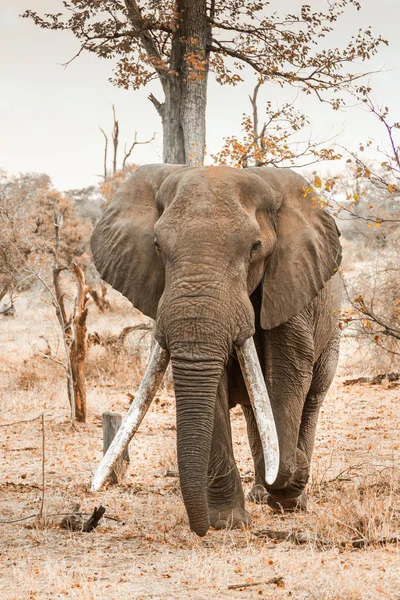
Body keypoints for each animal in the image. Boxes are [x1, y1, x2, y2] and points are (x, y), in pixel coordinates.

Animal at [90, 163, 340, 536]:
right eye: (157, 246)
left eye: (255, 247)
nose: (200, 528)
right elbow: (214, 385)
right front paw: (228, 522)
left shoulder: (290, 285)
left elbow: (288, 373)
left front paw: (290, 479)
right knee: (254, 411)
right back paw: (261, 493)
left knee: (311, 399)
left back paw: (292, 497)